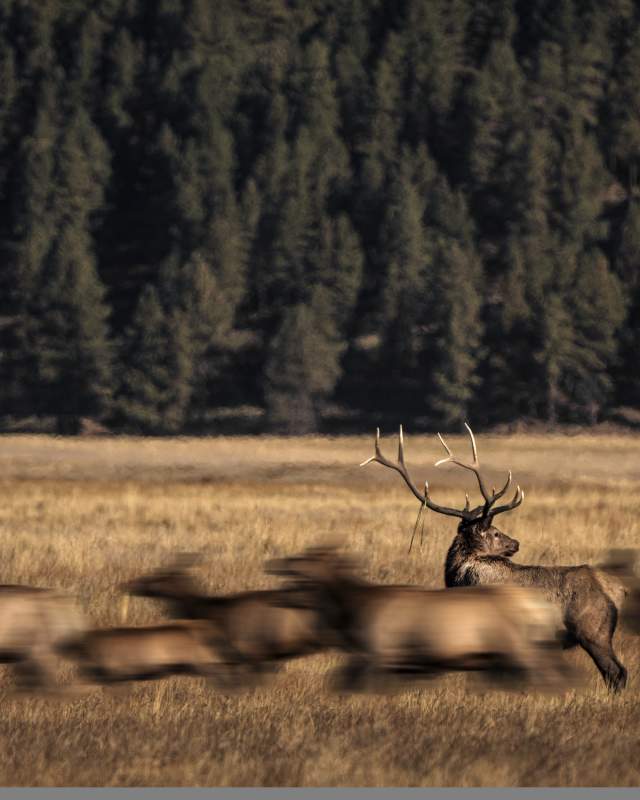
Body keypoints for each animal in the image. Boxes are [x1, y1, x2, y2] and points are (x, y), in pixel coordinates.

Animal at [266, 546, 572, 693]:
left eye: (305, 563)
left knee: (548, 675)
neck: (354, 608)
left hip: (518, 647)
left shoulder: (379, 652)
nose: (276, 563)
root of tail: (539, 609)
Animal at [360, 424, 631, 692]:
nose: (516, 543)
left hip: (593, 633)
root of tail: (618, 589)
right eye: (496, 532)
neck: (462, 576)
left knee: (617, 672)